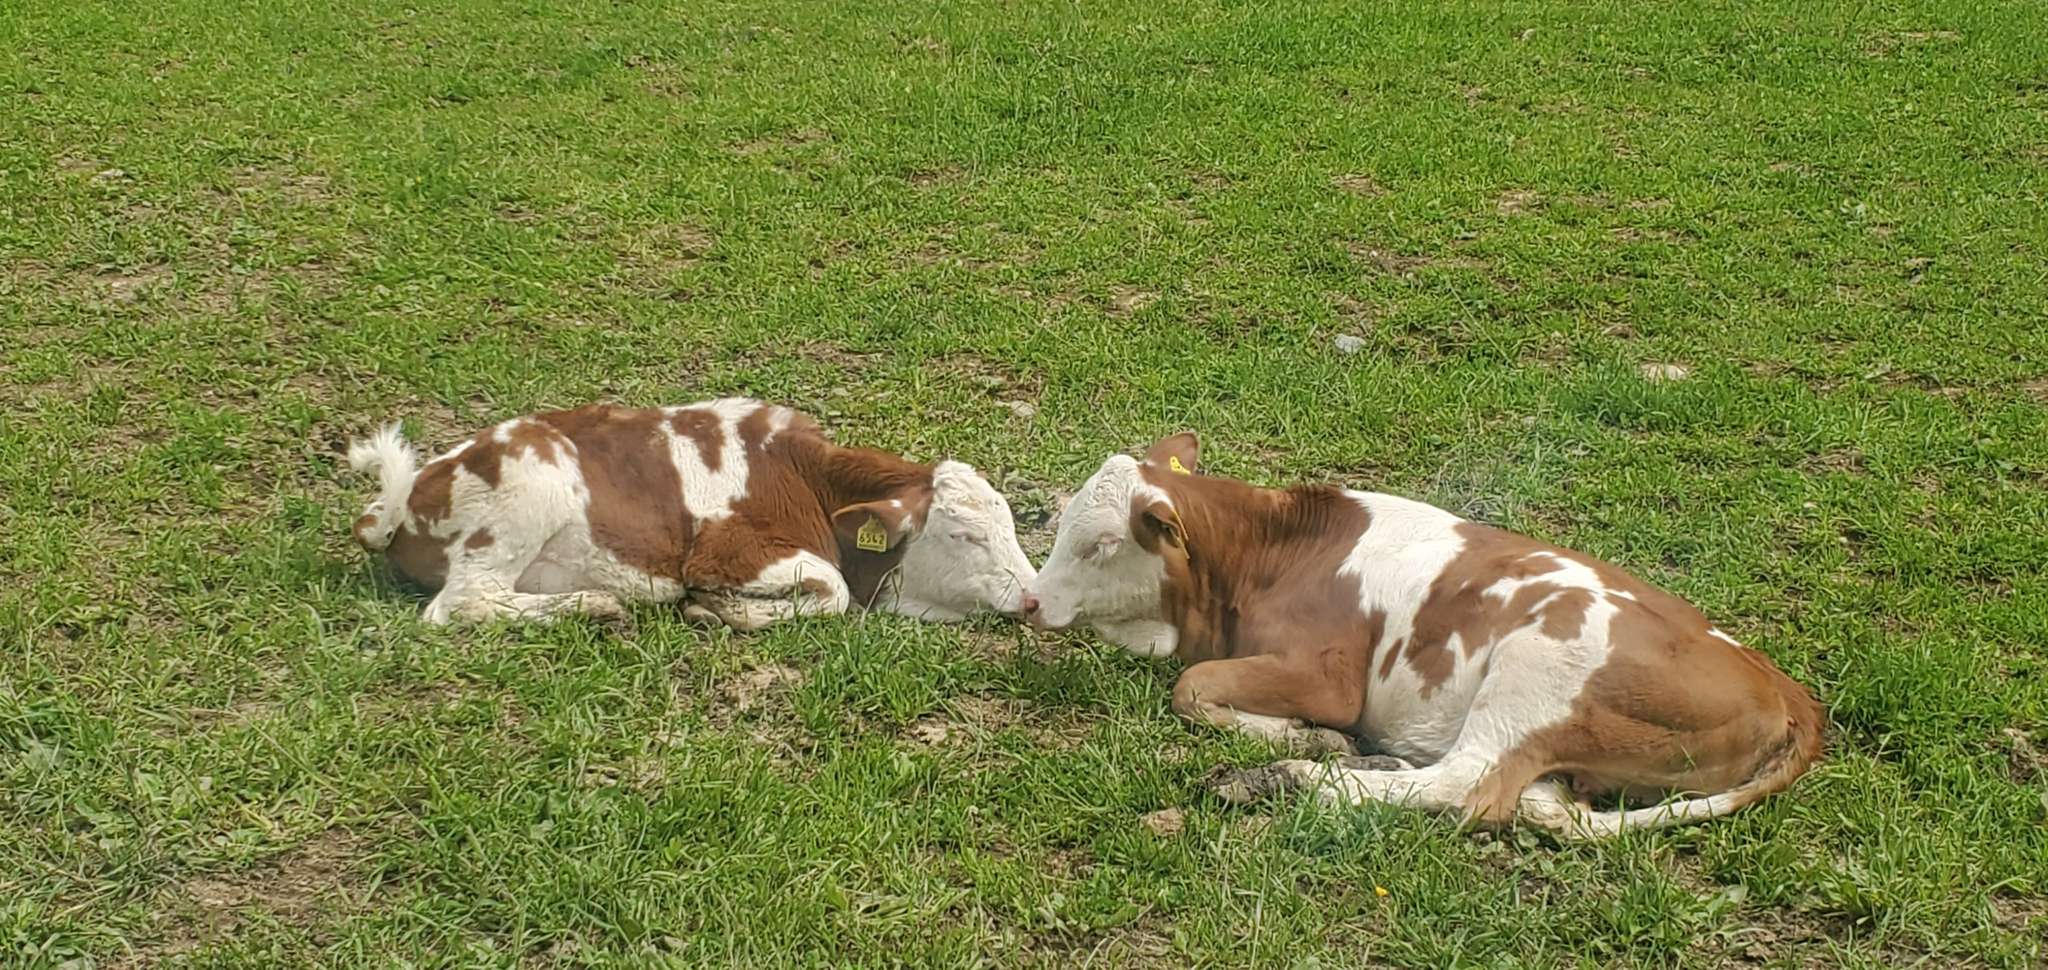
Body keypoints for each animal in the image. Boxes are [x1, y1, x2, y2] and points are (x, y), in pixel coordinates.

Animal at [345, 399, 1036, 630]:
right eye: (963, 535)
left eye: (1008, 528)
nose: (1033, 596)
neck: (802, 476)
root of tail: (407, 496)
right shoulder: (725, 552)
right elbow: (833, 589)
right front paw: (718, 609)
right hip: (522, 500)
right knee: (461, 603)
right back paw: (593, 604)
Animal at [1019, 432, 1824, 839]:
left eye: (1098, 544)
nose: (1029, 599)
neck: (1275, 553)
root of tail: (1787, 691)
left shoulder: (1330, 676)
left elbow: (1191, 687)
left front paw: (1306, 742)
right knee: (1536, 801)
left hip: (1537, 665)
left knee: (1467, 783)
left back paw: (1295, 777)